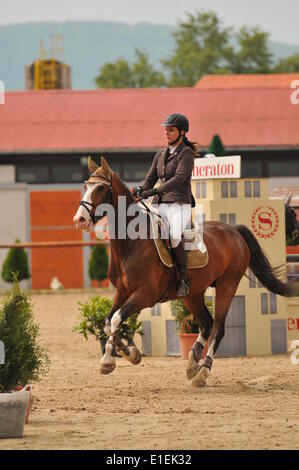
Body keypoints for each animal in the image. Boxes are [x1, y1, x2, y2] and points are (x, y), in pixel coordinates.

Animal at [74, 156, 294, 388]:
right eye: (85, 186)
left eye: (100, 188)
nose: (79, 219)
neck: (130, 244)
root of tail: (233, 231)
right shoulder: (122, 292)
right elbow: (108, 323)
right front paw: (125, 354)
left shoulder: (145, 295)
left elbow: (116, 319)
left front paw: (114, 358)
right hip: (193, 293)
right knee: (206, 324)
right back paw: (192, 364)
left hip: (227, 285)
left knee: (218, 327)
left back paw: (202, 371)